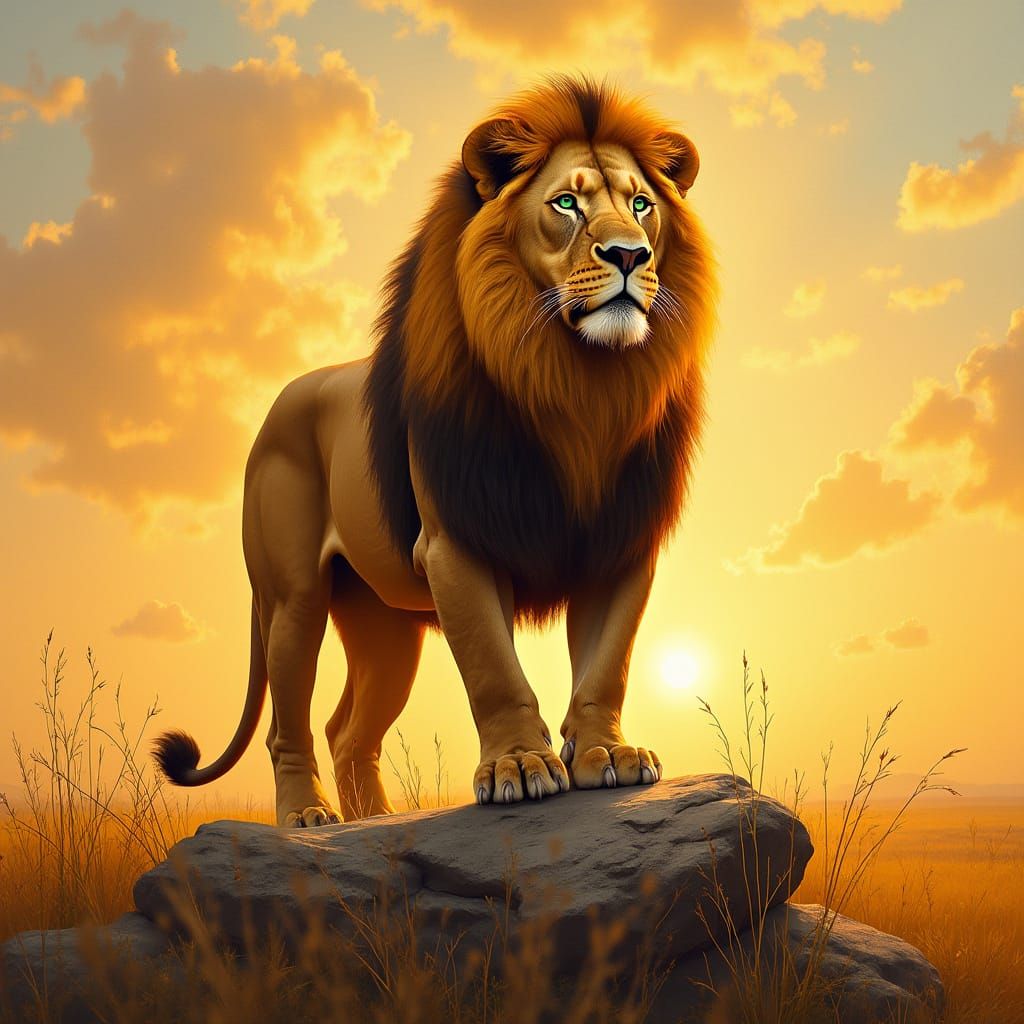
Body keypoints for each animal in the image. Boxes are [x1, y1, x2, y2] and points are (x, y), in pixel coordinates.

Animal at [154, 76, 718, 827]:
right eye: (566, 203)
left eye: (641, 205)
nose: (630, 255)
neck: (581, 385)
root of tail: (279, 403)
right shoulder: (456, 543)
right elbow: (493, 667)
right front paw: (519, 766)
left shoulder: (621, 542)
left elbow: (609, 662)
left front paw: (608, 755)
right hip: (292, 599)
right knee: (288, 724)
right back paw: (307, 818)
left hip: (384, 625)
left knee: (349, 730)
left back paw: (376, 823)